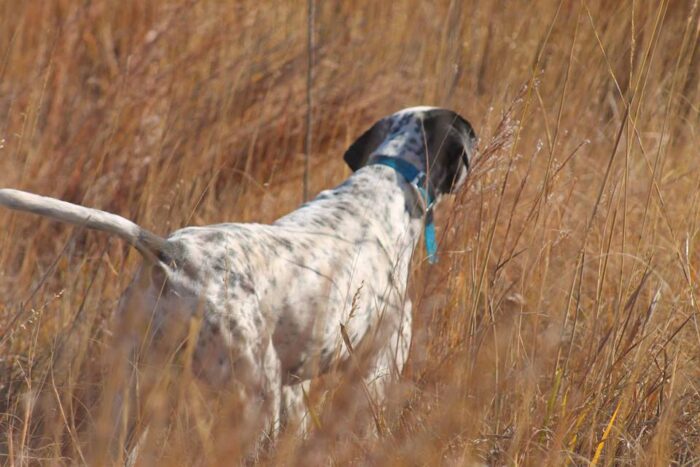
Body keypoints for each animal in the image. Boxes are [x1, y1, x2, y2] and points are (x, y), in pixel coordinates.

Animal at [0, 107, 476, 450]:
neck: (388, 181)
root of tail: (174, 254)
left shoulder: (295, 385)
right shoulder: (379, 362)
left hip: (132, 391)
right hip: (253, 393)